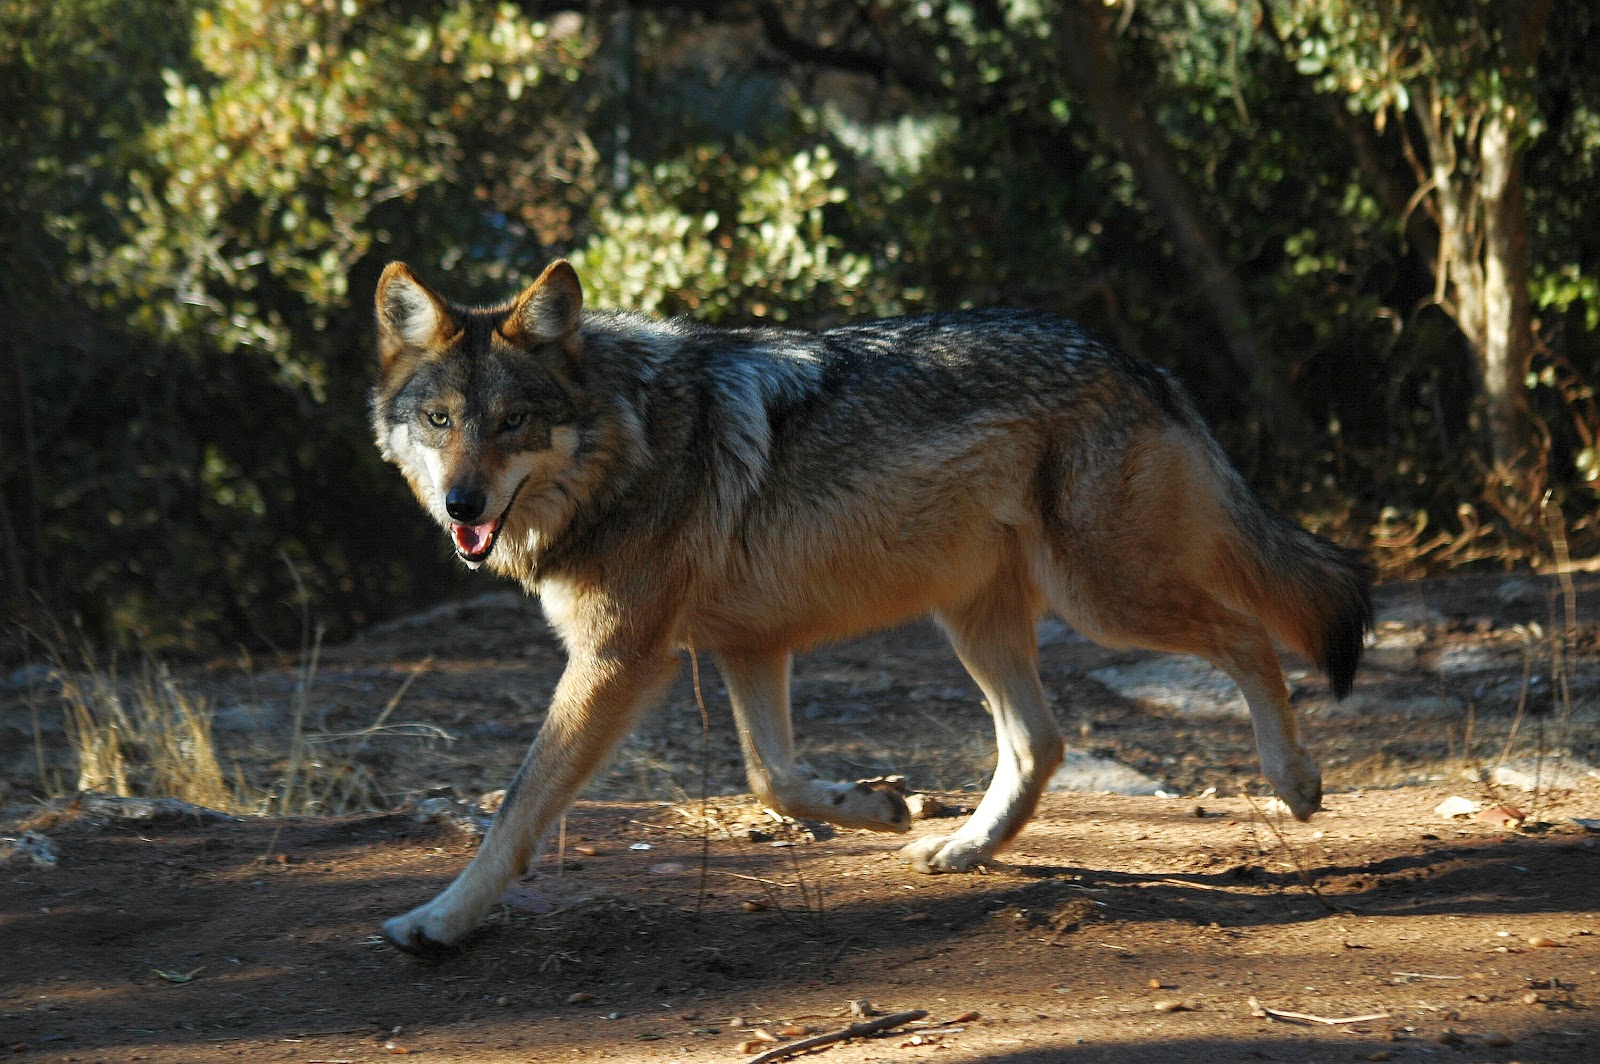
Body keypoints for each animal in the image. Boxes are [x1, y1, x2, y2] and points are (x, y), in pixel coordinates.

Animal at [368, 259, 1369, 953]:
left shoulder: (621, 661)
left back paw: (1293, 781)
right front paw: (881, 806)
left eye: (512, 424)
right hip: (977, 620)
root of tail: (1142, 363)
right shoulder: (747, 646)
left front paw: (437, 921)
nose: (461, 506)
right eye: (441, 422)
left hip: (1102, 599)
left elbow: (517, 808)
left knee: (1247, 637)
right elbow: (771, 778)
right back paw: (961, 851)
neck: (631, 439)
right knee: (1040, 742)